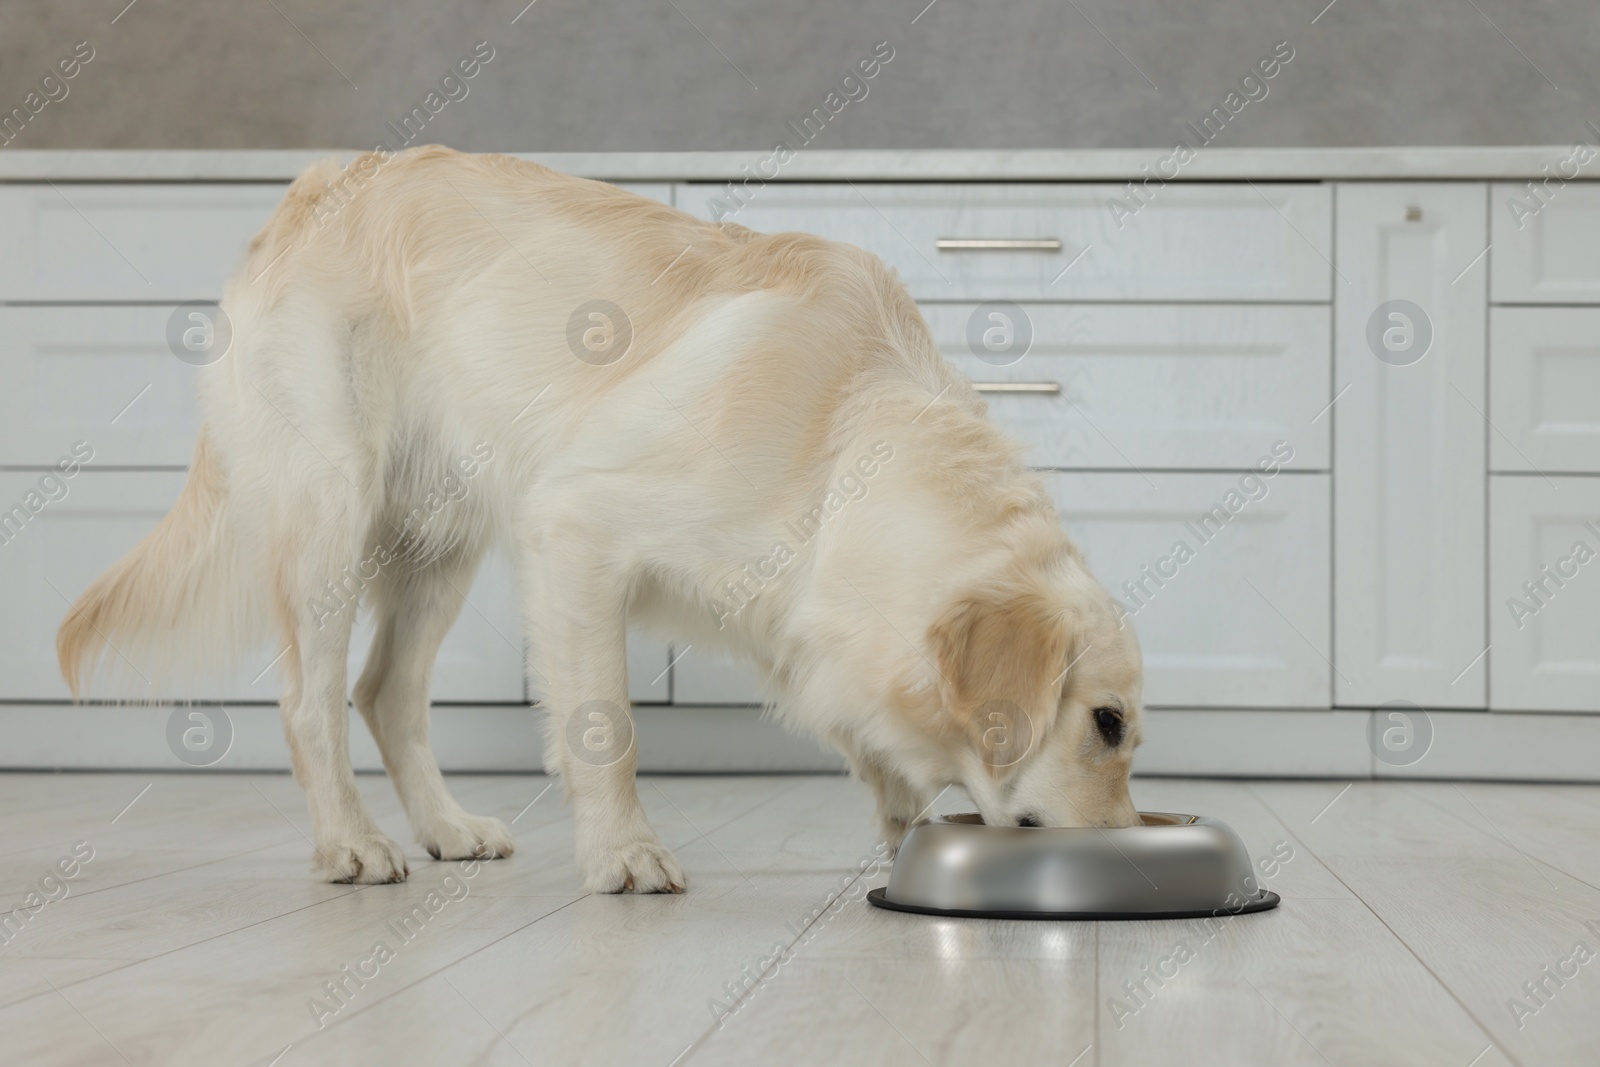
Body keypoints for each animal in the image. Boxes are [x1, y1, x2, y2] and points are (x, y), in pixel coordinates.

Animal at [56, 146, 1145, 889]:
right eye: (1107, 722)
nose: (1133, 847)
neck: (846, 436)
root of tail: (314, 184)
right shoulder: (577, 530)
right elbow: (604, 723)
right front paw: (624, 852)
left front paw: (899, 816)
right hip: (332, 512)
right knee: (311, 700)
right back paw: (352, 842)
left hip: (441, 539)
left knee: (386, 691)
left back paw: (447, 826)